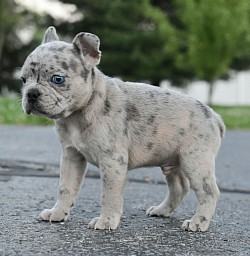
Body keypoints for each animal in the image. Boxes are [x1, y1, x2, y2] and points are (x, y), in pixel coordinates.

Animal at [21, 26, 225, 232]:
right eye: (23, 79)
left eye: (57, 79)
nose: (31, 94)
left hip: (195, 161)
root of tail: (213, 115)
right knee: (179, 187)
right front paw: (58, 213)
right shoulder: (72, 156)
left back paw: (198, 221)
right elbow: (65, 187)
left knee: (209, 192)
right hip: (172, 161)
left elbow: (109, 194)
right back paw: (162, 210)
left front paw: (106, 220)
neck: (78, 113)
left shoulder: (112, 160)